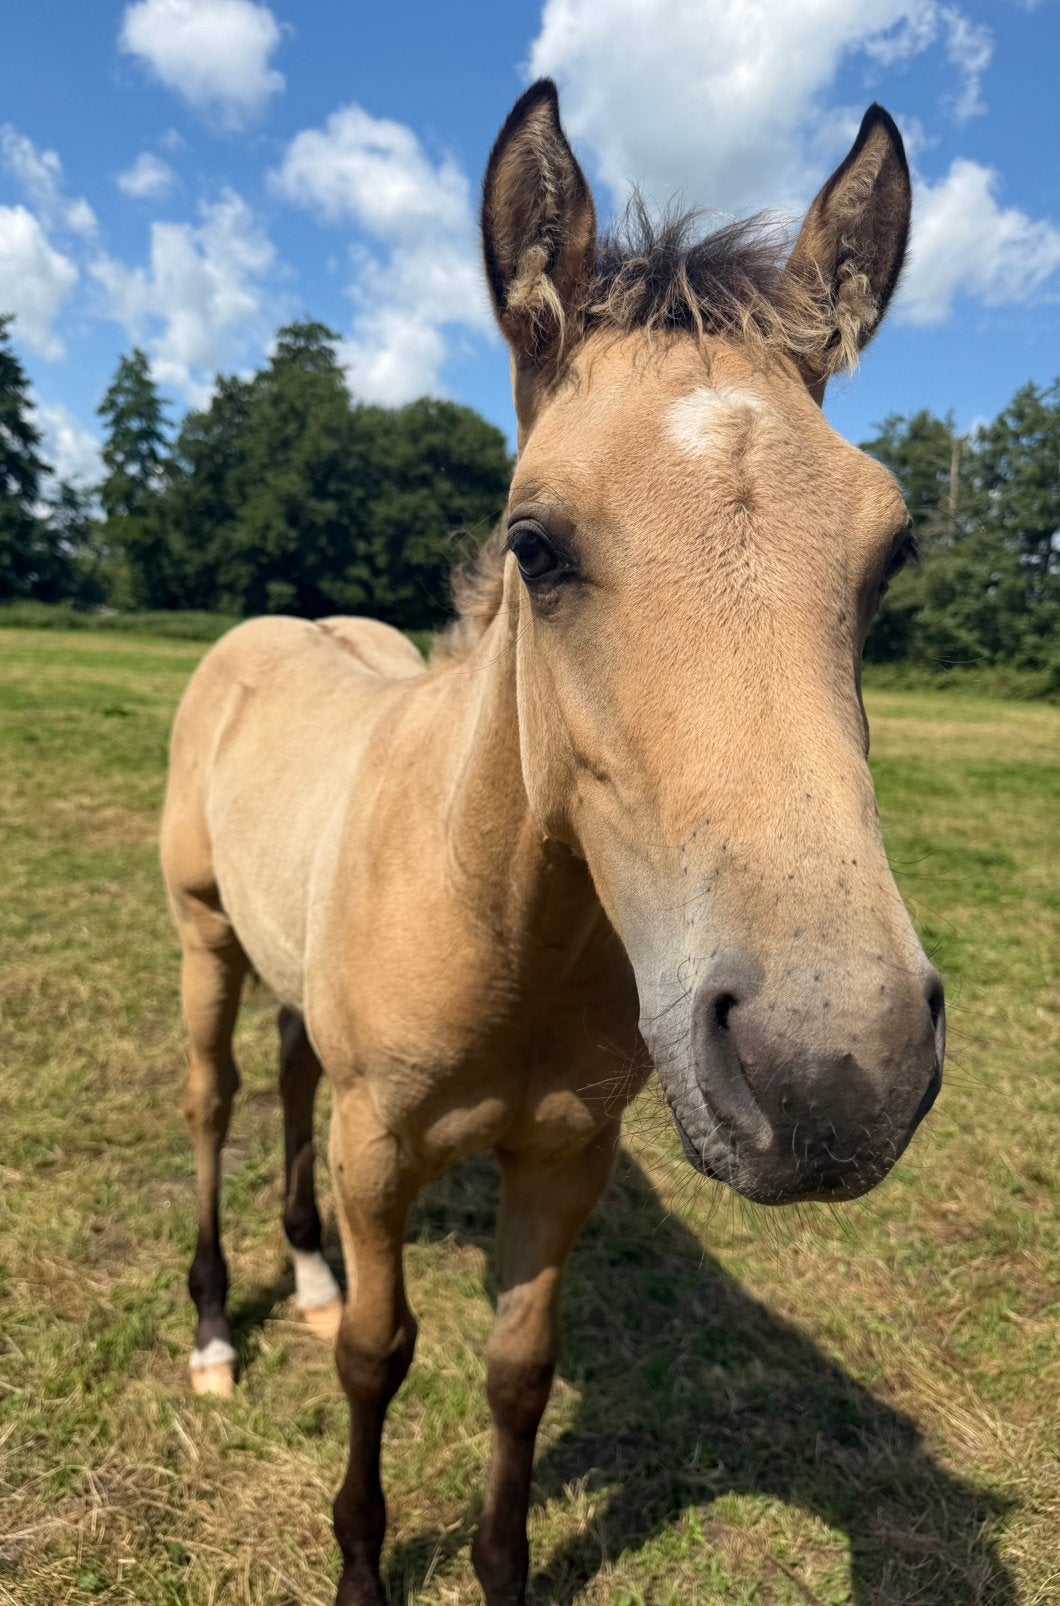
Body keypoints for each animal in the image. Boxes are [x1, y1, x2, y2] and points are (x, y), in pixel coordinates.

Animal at [160, 79, 945, 1606]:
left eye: (890, 554)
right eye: (535, 540)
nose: (838, 1075)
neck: (503, 924)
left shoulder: (568, 1152)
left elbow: (520, 1370)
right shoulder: (379, 1147)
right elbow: (380, 1358)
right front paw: (360, 1565)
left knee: (286, 1073)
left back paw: (306, 1273)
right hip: (204, 935)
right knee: (219, 1099)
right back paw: (220, 1326)